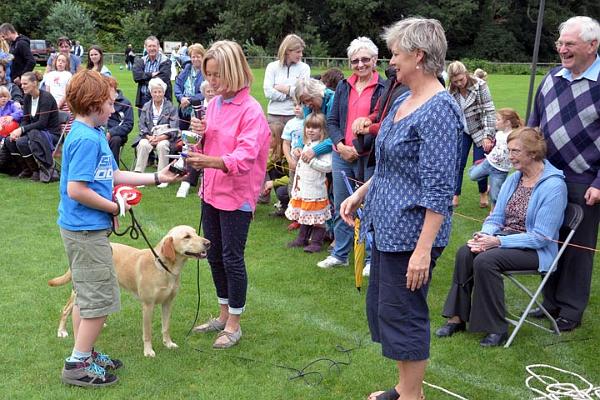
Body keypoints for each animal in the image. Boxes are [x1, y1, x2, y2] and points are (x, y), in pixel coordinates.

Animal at [48, 227, 211, 358]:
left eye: (196, 232)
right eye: (187, 237)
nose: (208, 243)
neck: (164, 267)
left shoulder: (167, 303)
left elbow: (166, 327)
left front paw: (168, 343)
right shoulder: (148, 306)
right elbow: (147, 333)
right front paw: (148, 351)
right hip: (82, 290)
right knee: (66, 309)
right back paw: (61, 331)